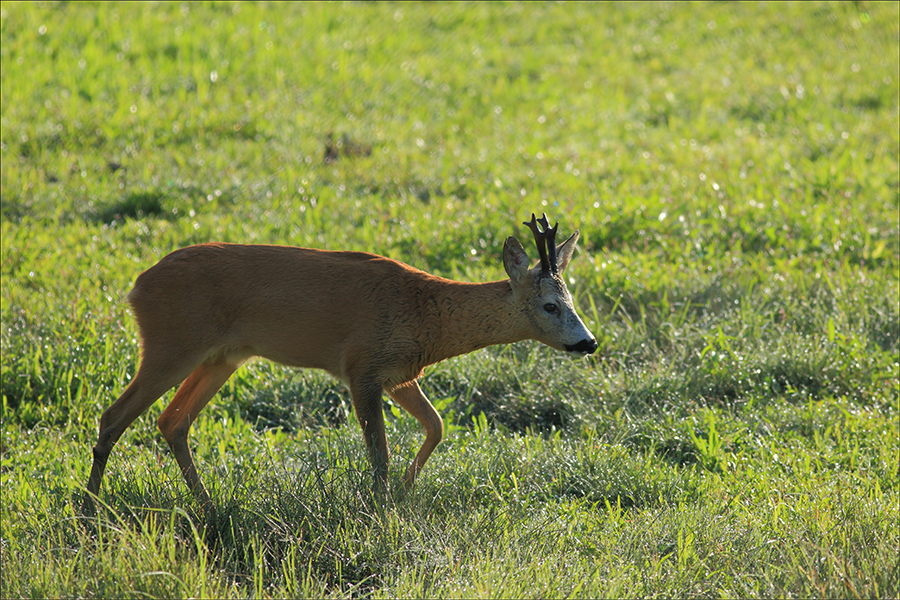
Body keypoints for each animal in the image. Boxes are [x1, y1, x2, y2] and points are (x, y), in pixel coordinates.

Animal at [81, 212, 596, 510]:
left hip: (222, 357)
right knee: (113, 416)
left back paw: (209, 507)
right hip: (169, 344)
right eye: (550, 305)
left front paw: (403, 494)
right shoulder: (361, 366)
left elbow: (436, 426)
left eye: (572, 300)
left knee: (172, 421)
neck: (428, 315)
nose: (588, 342)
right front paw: (381, 509)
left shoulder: (399, 373)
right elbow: (379, 454)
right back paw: (89, 509)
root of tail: (136, 287)